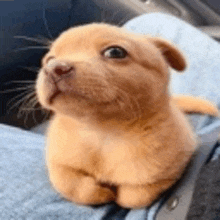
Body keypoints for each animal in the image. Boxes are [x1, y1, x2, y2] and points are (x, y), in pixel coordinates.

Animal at [35, 22, 218, 208]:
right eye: (49, 60)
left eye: (115, 52)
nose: (52, 68)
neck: (102, 132)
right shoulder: (57, 162)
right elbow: (71, 185)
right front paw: (101, 193)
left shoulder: (171, 170)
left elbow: (133, 196)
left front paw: (118, 194)